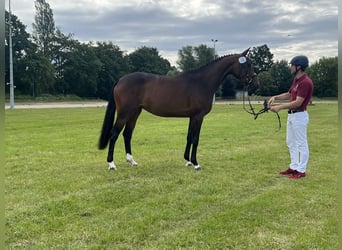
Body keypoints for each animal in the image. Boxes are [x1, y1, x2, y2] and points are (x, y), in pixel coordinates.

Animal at [97, 47, 258, 170]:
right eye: (248, 64)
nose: (256, 84)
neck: (202, 82)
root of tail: (121, 79)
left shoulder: (192, 117)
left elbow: (189, 137)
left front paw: (187, 161)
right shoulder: (199, 117)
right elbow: (195, 139)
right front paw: (196, 164)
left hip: (135, 113)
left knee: (127, 134)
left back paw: (132, 161)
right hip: (124, 114)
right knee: (114, 134)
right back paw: (111, 164)